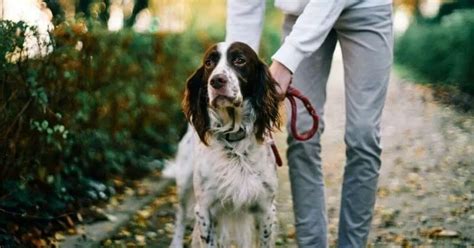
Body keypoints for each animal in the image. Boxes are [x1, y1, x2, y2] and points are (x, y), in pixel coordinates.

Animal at [165, 41, 280, 247]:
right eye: (209, 63)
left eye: (240, 60)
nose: (216, 81)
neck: (234, 139)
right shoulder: (204, 209)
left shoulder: (266, 208)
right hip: (184, 182)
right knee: (181, 216)